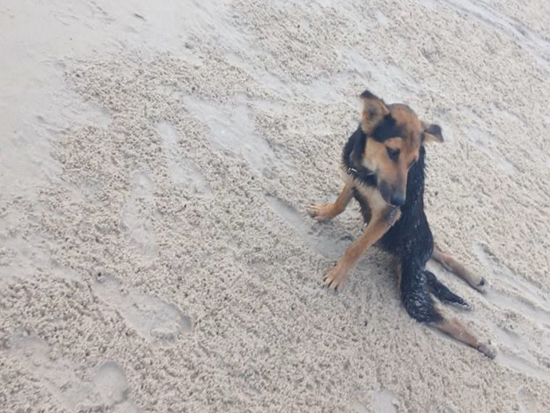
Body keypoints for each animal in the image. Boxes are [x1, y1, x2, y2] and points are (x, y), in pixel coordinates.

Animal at [308, 89, 498, 358]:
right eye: (393, 152)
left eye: (412, 161)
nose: (401, 200)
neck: (369, 172)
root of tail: (421, 257)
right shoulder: (354, 179)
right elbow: (341, 203)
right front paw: (325, 212)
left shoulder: (387, 216)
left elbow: (356, 248)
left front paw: (337, 275)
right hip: (413, 241)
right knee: (439, 251)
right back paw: (475, 278)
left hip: (412, 285)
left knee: (444, 318)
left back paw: (483, 342)